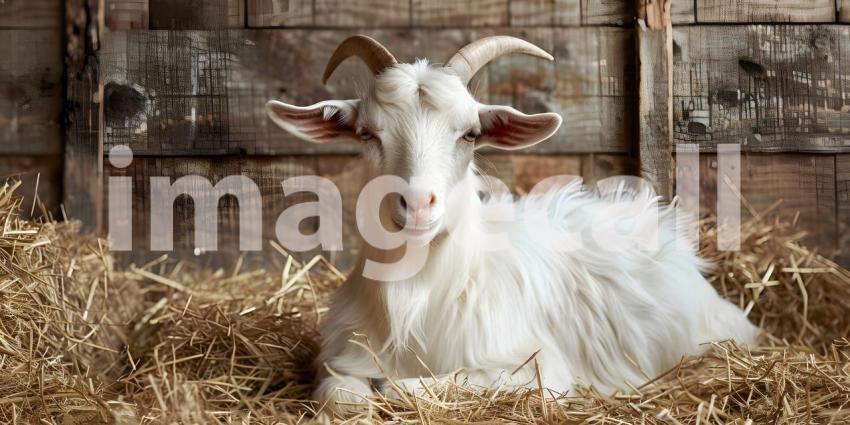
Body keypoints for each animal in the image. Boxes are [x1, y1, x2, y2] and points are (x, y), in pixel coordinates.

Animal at [266, 35, 759, 416]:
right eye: (367, 133)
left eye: (470, 133)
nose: (418, 204)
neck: (417, 296)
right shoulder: (339, 360)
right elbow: (343, 394)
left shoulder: (538, 370)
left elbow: (407, 388)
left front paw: (390, 391)